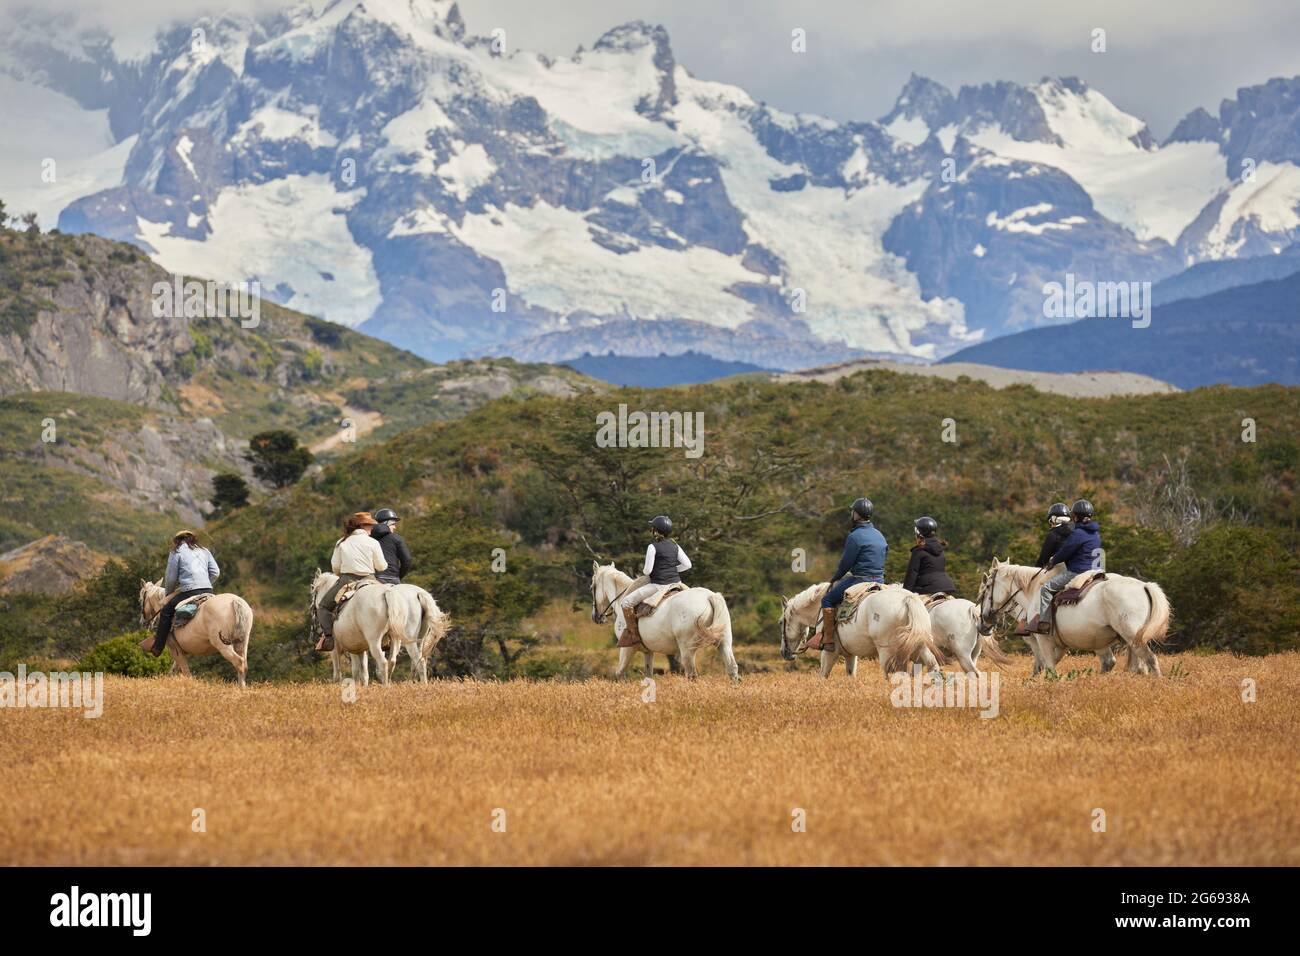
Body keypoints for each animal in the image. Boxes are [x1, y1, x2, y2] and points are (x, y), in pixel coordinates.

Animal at [592, 561, 738, 681]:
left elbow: (620, 673)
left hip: (687, 650)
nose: (595, 616)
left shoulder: (627, 648)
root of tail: (710, 596)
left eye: (592, 587)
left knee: (691, 675)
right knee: (732, 668)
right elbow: (648, 676)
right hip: (724, 643)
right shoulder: (648, 652)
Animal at [774, 580, 941, 676]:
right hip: (920, 646)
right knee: (933, 667)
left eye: (781, 622)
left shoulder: (829, 652)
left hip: (887, 652)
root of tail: (907, 599)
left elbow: (823, 675)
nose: (784, 652)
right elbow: (851, 674)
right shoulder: (850, 654)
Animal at [977, 556, 1170, 676]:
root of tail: (1144, 585)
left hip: (1134, 638)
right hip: (1130, 640)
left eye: (986, 587)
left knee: (1150, 660)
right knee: (1139, 667)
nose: (983, 620)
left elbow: (1045, 667)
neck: (1032, 592)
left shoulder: (1041, 640)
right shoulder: (1077, 644)